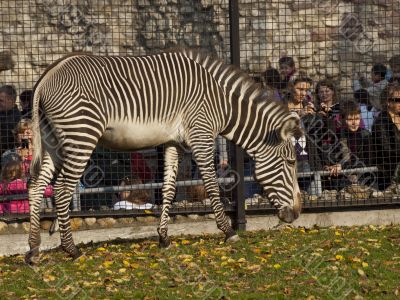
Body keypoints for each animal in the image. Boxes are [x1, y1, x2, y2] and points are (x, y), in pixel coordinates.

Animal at [25, 49, 302, 264]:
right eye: (291, 162)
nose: (297, 213)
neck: (221, 103)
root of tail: (49, 73)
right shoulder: (201, 136)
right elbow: (212, 185)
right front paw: (228, 231)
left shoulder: (172, 142)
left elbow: (168, 188)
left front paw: (164, 237)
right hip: (81, 135)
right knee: (61, 189)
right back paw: (71, 249)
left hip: (52, 141)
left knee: (36, 186)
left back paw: (34, 250)